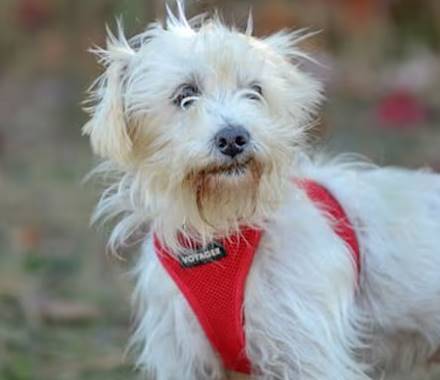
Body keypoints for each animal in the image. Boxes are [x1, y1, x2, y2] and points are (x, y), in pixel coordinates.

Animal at [81, 3, 440, 380]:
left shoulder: (309, 353)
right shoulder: (184, 358)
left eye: (255, 91)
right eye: (185, 95)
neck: (221, 229)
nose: (233, 138)